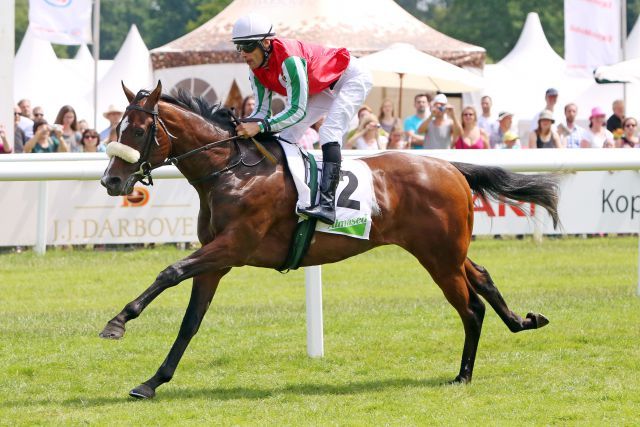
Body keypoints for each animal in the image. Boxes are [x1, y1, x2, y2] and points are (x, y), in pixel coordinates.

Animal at [100, 81, 560, 402]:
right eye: (116, 127)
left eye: (138, 130)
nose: (111, 181)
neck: (232, 170)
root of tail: (451, 168)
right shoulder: (217, 260)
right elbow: (190, 321)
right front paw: (151, 382)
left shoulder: (233, 247)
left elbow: (170, 271)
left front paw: (117, 322)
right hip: (446, 251)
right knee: (482, 276)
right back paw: (523, 321)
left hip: (439, 257)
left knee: (471, 307)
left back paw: (463, 374)